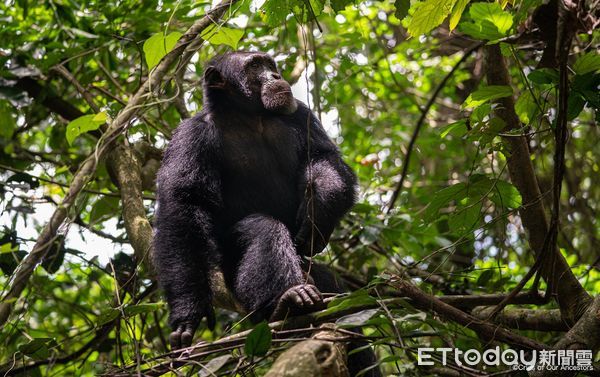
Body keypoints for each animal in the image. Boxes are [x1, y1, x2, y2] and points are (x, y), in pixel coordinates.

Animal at [154, 51, 380, 374]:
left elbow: (322, 157)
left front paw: (317, 214)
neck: (249, 116)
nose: (275, 76)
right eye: (254, 66)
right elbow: (184, 205)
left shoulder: (301, 114)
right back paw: (288, 300)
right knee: (261, 230)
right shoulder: (189, 137)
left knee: (336, 296)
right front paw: (187, 314)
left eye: (269, 64)